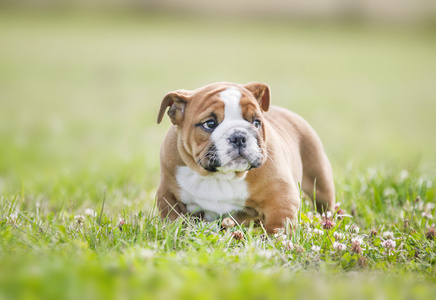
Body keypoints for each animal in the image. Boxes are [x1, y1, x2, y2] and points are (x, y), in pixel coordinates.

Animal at [156, 82, 334, 234]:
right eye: (210, 124)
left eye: (256, 123)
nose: (239, 136)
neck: (220, 176)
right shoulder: (168, 193)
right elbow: (171, 218)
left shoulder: (280, 198)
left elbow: (278, 227)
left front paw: (274, 244)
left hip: (319, 179)